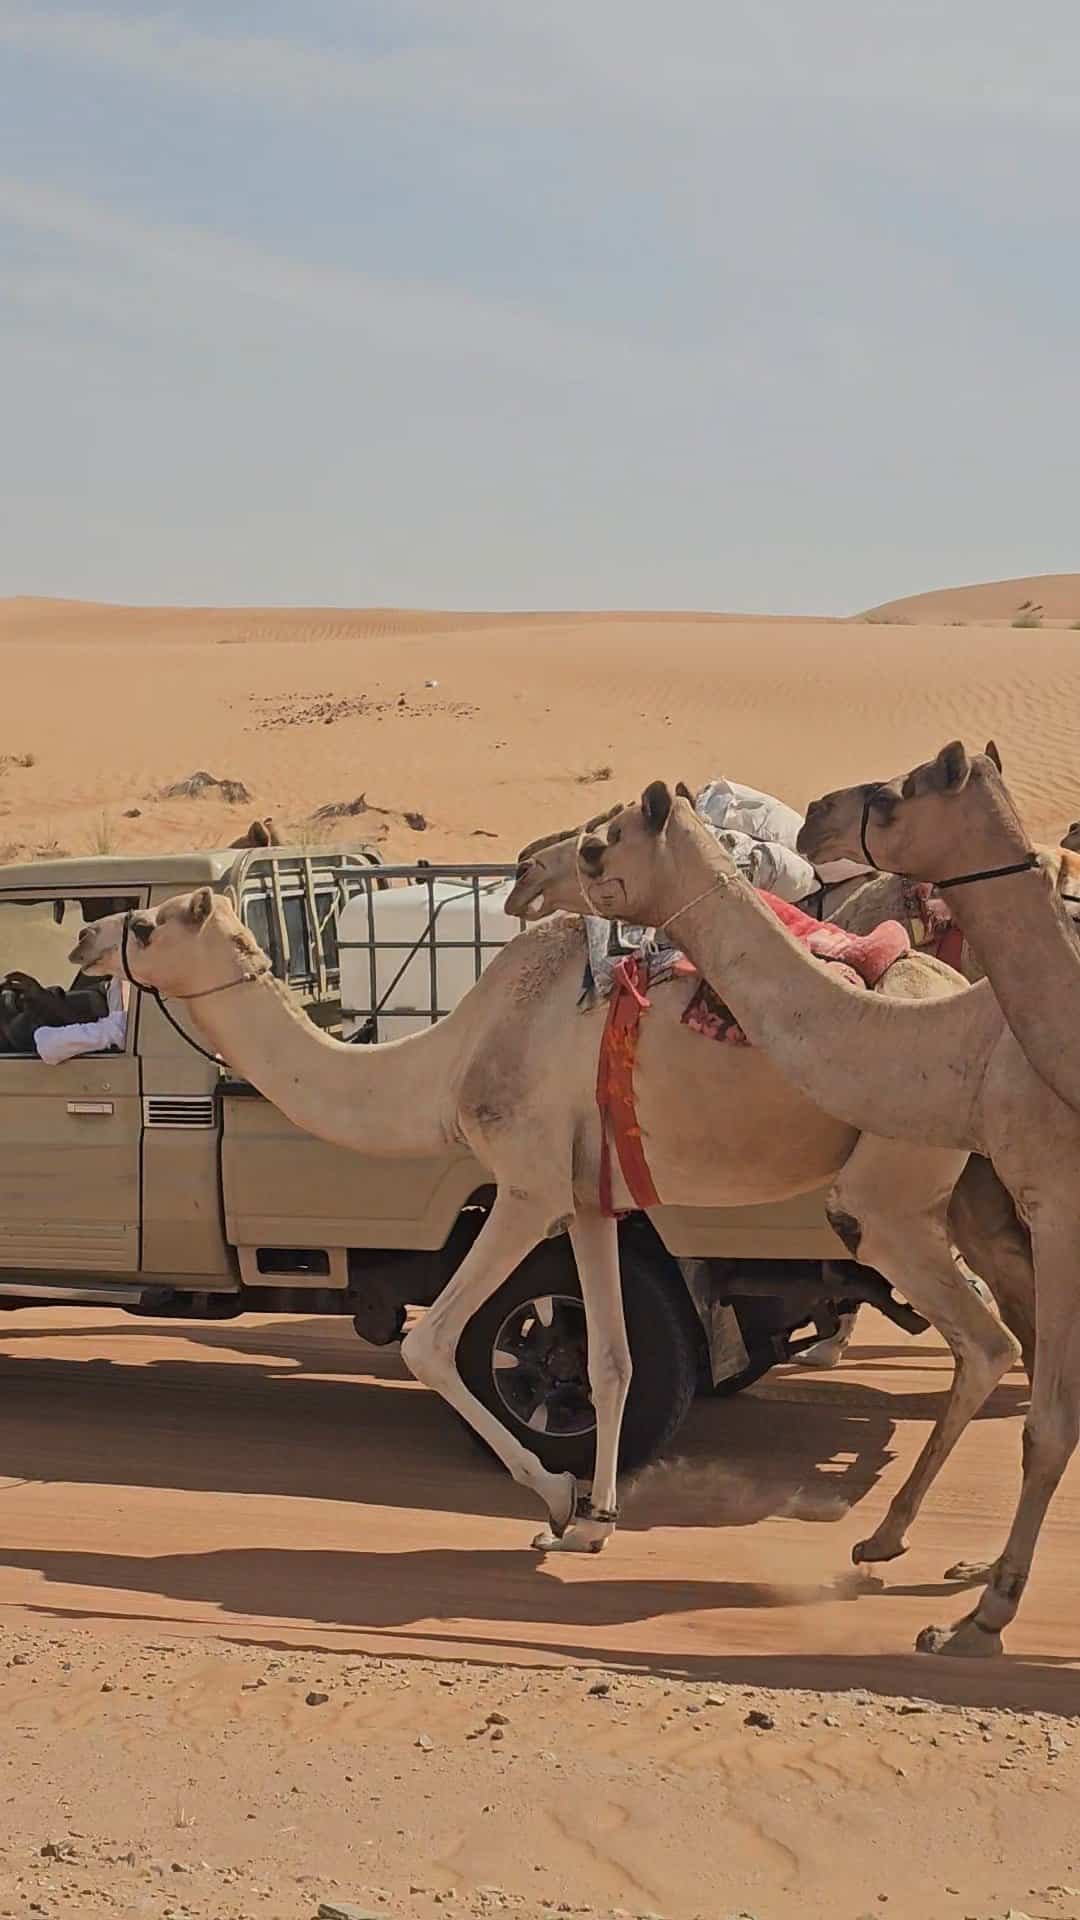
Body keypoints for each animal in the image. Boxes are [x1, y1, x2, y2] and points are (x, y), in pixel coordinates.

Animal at [71, 887, 1017, 1604]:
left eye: (147, 924)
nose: (84, 938)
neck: (450, 1063)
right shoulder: (592, 1201)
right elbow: (608, 1359)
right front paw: (595, 1522)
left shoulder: (525, 1186)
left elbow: (428, 1342)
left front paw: (559, 1500)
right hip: (980, 1180)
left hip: (890, 1188)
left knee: (988, 1341)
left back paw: (893, 1542)